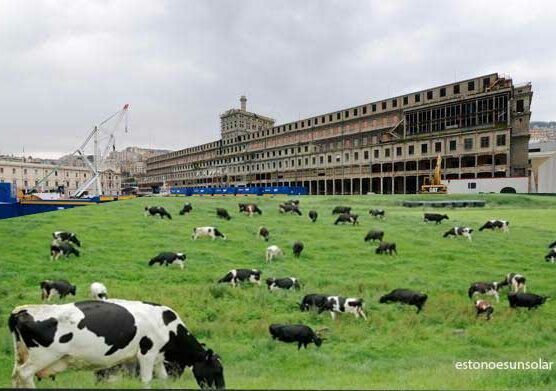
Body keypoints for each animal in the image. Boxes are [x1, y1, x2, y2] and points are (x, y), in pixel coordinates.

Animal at [7, 300, 225, 388]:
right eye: (217, 370)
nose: (222, 388)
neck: (168, 327)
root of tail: (22, 310)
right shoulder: (147, 353)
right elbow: (146, 380)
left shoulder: (155, 357)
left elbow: (162, 379)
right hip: (43, 356)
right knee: (25, 374)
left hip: (21, 355)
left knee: (16, 376)